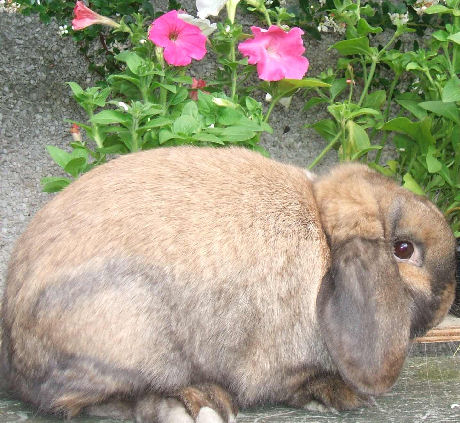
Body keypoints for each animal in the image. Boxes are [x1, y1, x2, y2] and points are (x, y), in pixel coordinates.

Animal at [0, 147, 456, 423]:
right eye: (403, 249)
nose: (448, 299)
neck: (324, 239)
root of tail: (14, 351)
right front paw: (339, 395)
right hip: (126, 335)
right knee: (81, 401)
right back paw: (195, 404)